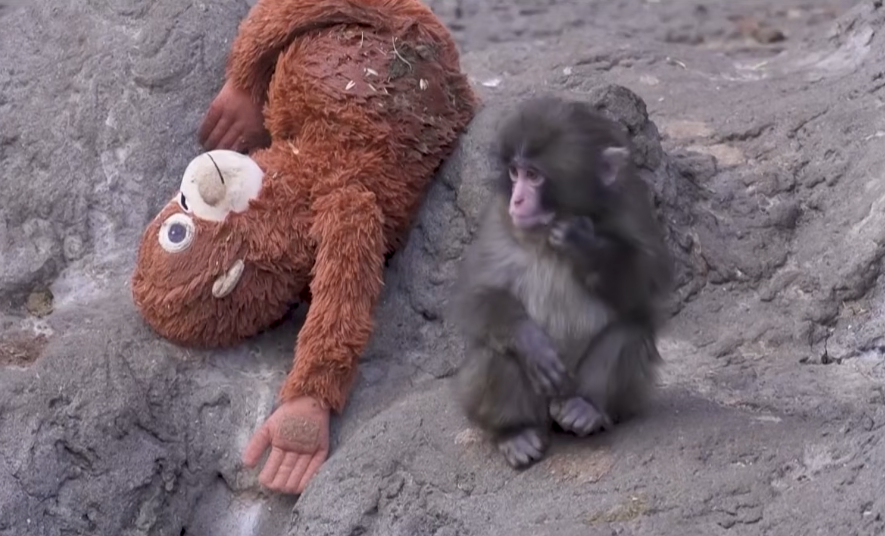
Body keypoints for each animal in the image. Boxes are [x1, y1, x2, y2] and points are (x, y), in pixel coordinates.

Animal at [449, 96, 673, 469]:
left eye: (534, 176)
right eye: (515, 173)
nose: (517, 200)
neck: (545, 232)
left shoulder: (631, 208)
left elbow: (648, 288)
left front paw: (585, 246)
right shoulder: (497, 220)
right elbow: (476, 296)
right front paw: (530, 343)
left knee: (630, 333)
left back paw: (587, 409)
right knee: (494, 354)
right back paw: (514, 432)